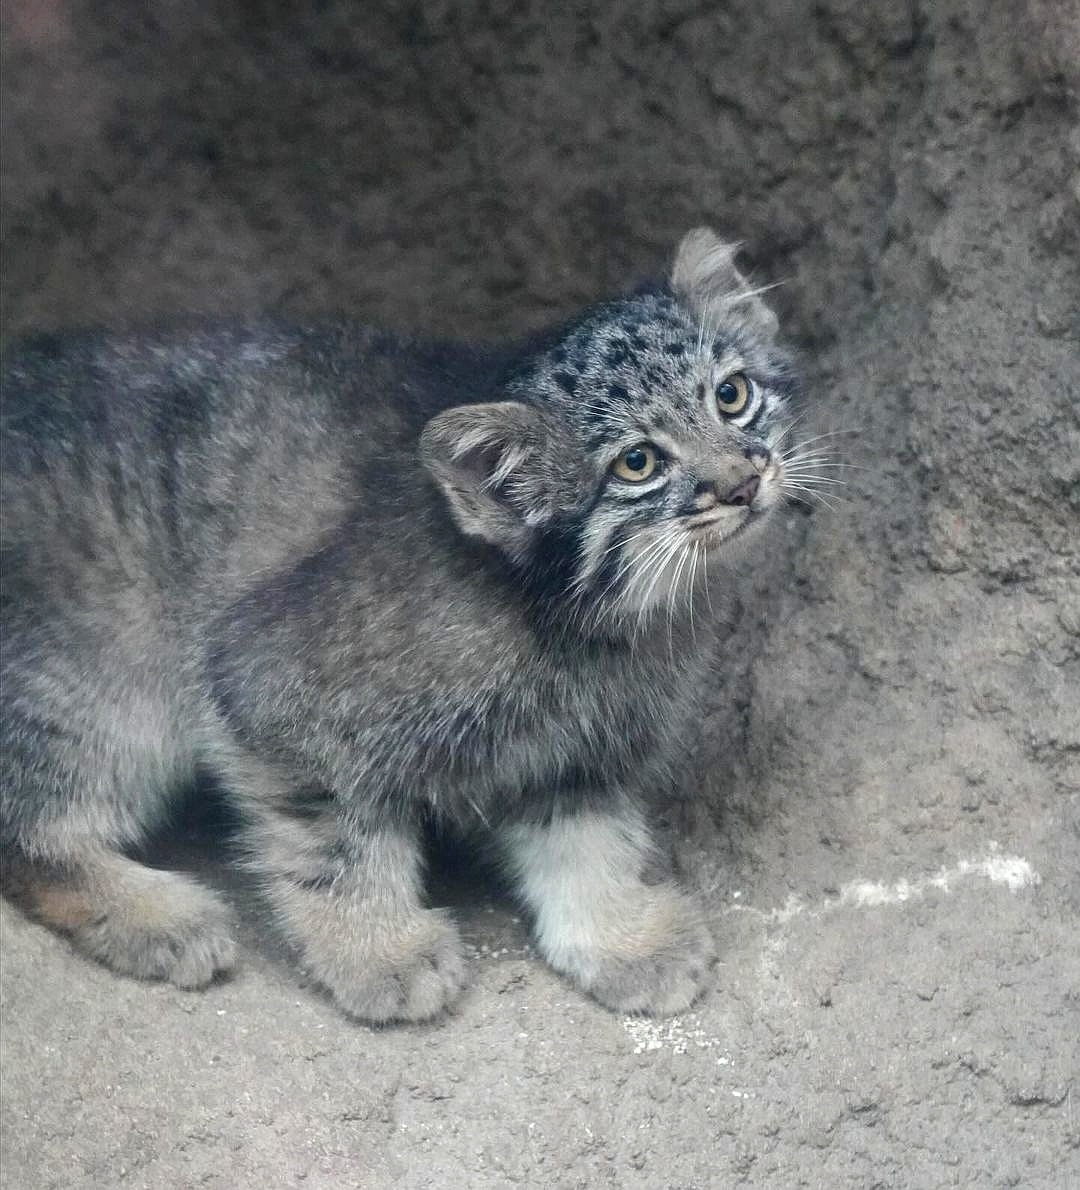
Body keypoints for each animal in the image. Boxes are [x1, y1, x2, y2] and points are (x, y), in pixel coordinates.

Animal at [0, 229, 804, 1023]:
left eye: (732, 395)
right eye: (638, 463)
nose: (743, 481)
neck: (583, 615)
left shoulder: (575, 754)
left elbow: (589, 846)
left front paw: (624, 939)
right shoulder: (268, 688)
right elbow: (336, 842)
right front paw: (378, 950)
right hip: (98, 686)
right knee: (25, 836)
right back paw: (159, 918)